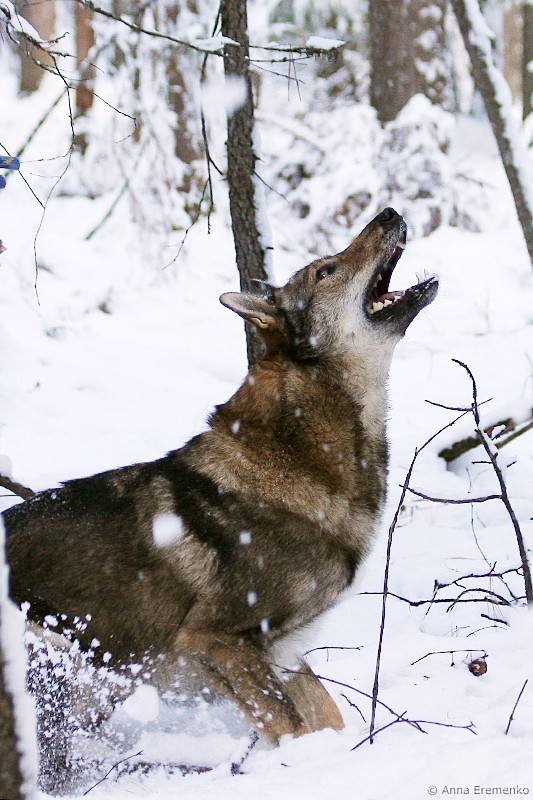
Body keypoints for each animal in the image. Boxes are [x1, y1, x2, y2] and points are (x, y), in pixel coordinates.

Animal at [4, 207, 438, 770]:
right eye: (326, 271)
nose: (389, 213)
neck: (300, 450)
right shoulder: (218, 640)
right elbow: (294, 730)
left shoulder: (282, 653)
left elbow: (328, 719)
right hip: (67, 667)